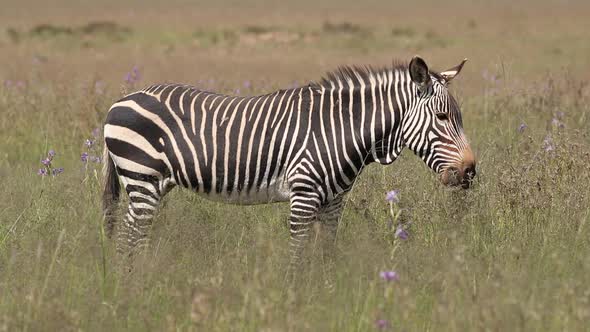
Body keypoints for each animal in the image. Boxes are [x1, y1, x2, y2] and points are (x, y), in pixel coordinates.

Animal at [104, 55, 478, 268]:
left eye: (458, 118)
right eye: (443, 117)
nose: (470, 172)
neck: (341, 129)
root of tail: (121, 99)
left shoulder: (334, 201)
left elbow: (326, 253)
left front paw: (325, 294)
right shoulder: (304, 195)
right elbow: (297, 256)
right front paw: (294, 302)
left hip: (153, 184)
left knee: (131, 236)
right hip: (142, 179)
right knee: (128, 238)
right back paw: (133, 286)